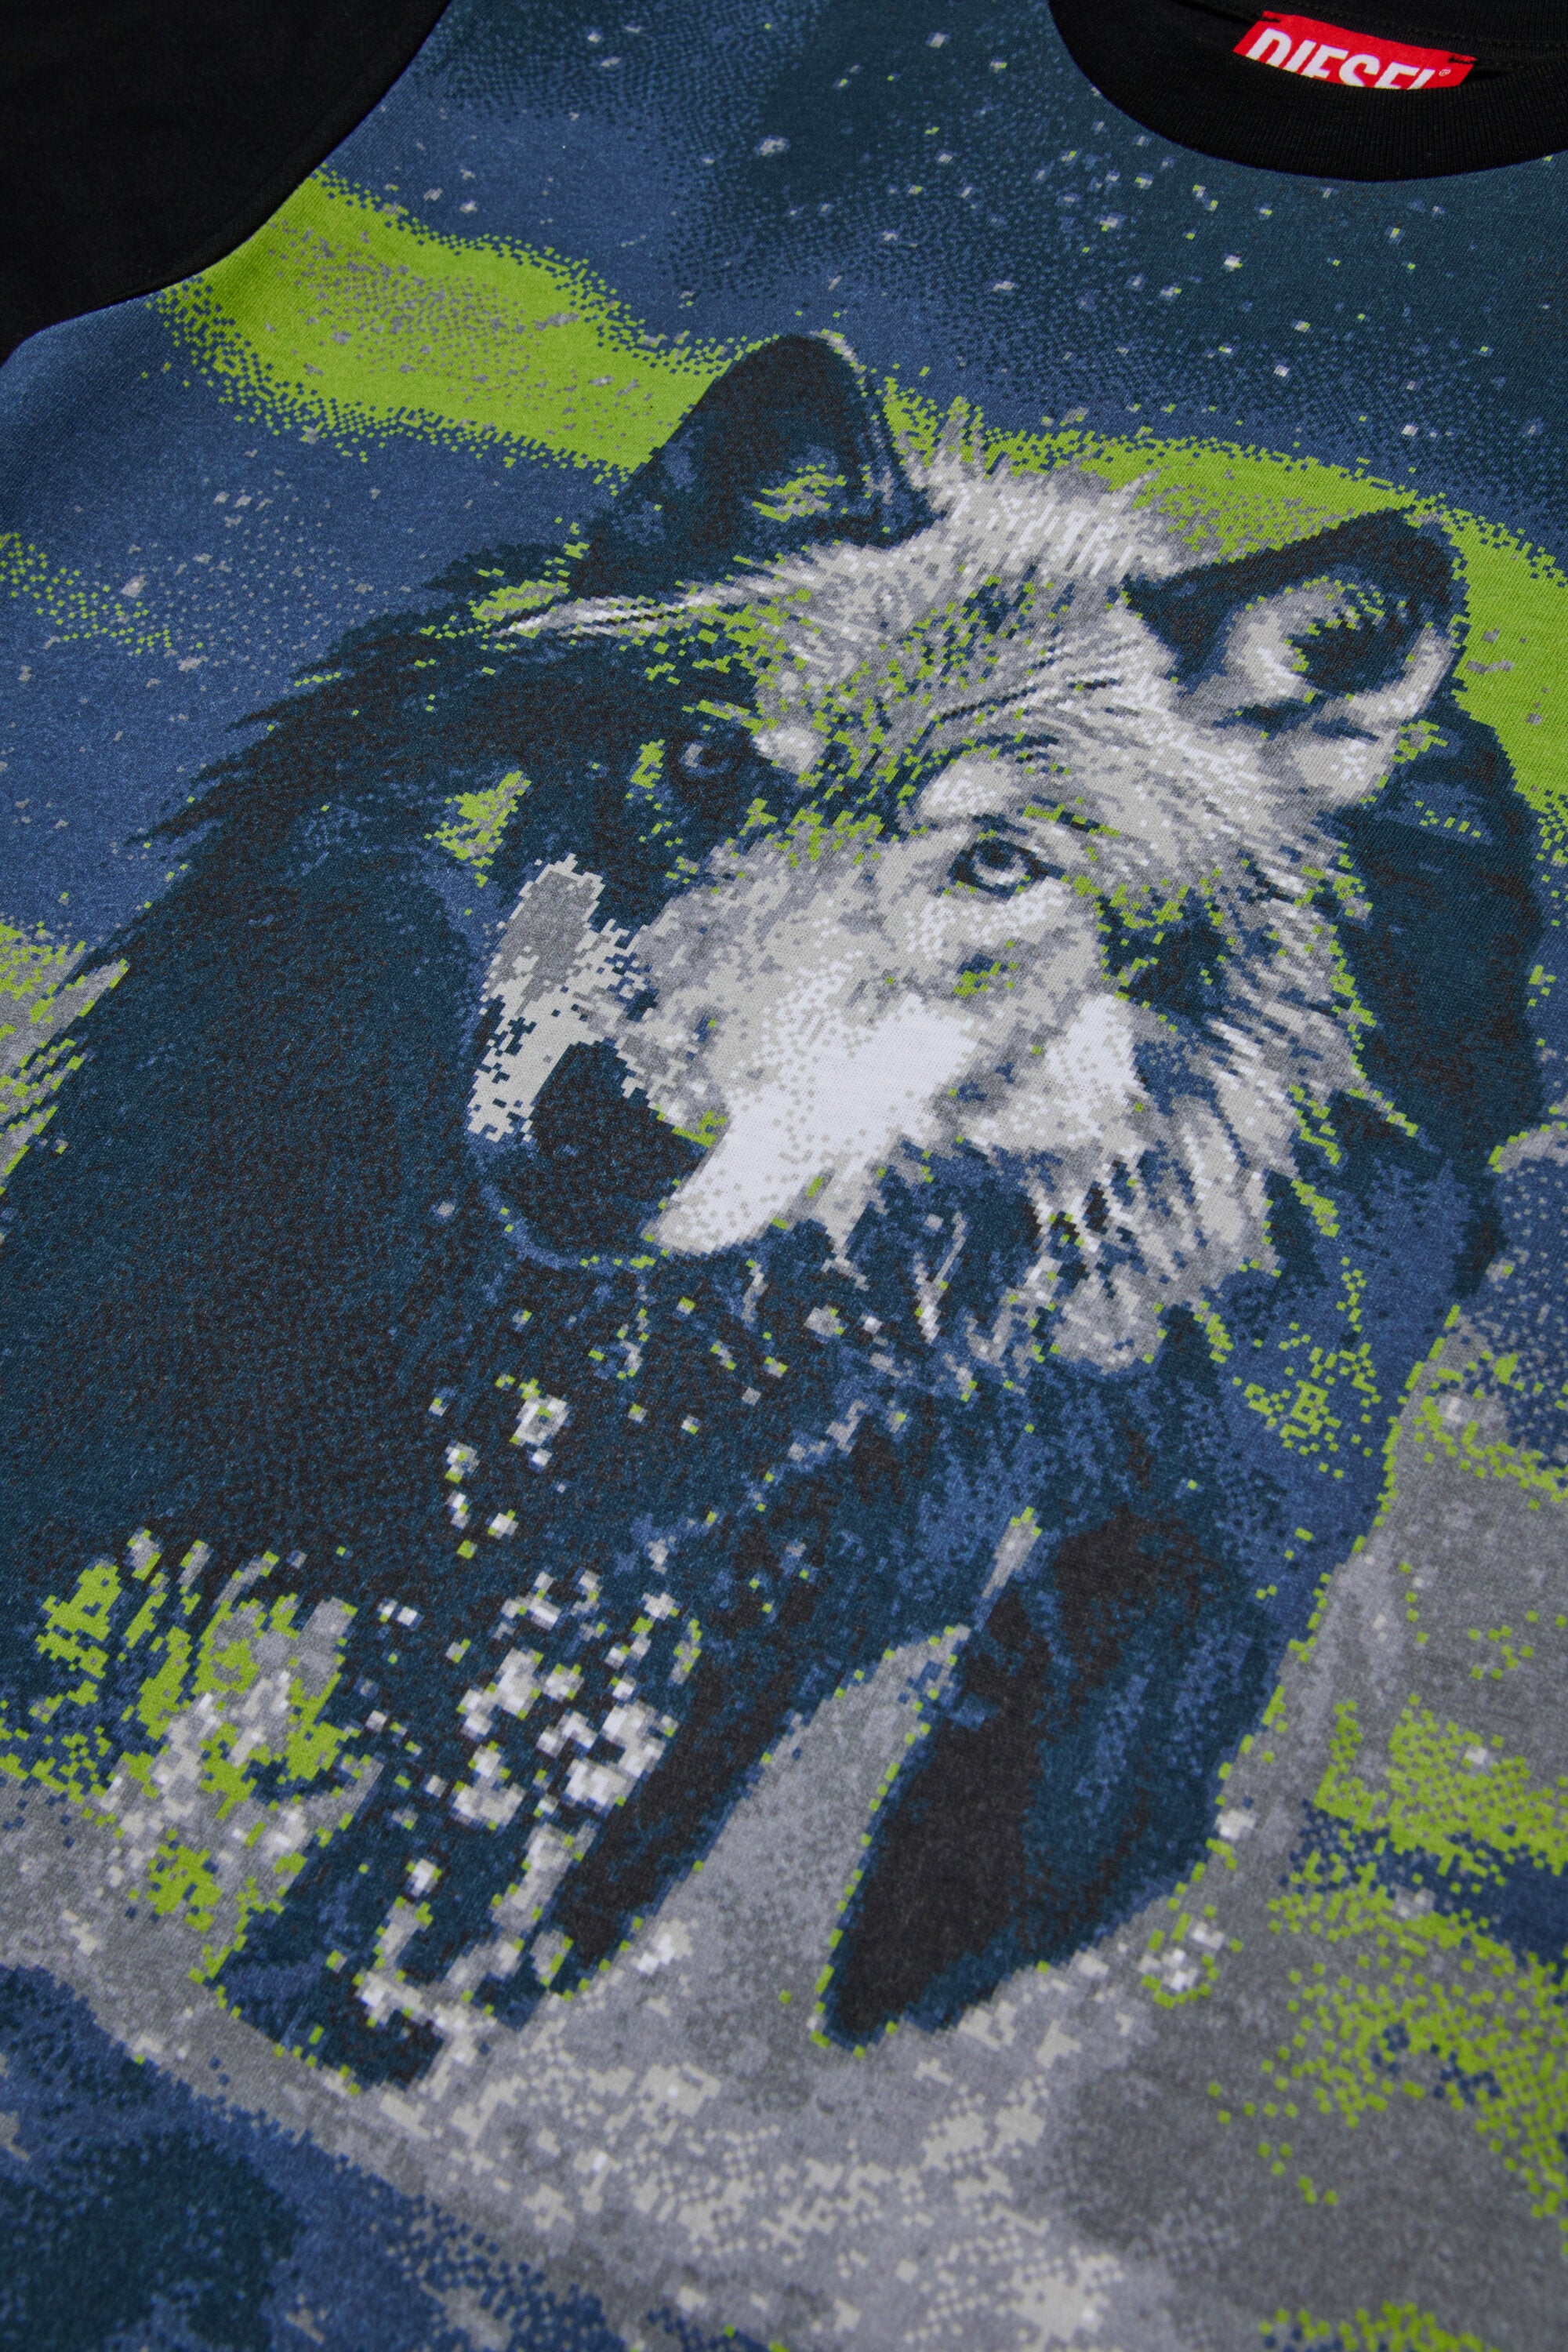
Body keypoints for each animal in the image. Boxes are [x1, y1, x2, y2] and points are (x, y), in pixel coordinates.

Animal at [0, 336, 1542, 2076]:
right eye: (707, 759)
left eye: (996, 867)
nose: (619, 1124)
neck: (501, 1365)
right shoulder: (90, 1414)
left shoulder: (575, 1673)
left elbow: (370, 1955)